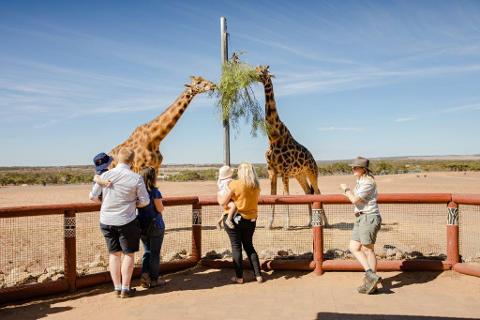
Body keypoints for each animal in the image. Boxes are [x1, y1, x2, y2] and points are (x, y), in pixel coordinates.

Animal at [255, 65, 330, 230]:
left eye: (263, 70)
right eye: (255, 68)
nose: (252, 75)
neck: (273, 137)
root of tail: (312, 157)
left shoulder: (284, 171)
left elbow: (286, 195)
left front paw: (286, 225)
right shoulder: (272, 171)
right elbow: (273, 196)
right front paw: (270, 224)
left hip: (311, 171)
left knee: (317, 191)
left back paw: (326, 223)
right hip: (299, 174)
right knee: (308, 192)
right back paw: (309, 221)